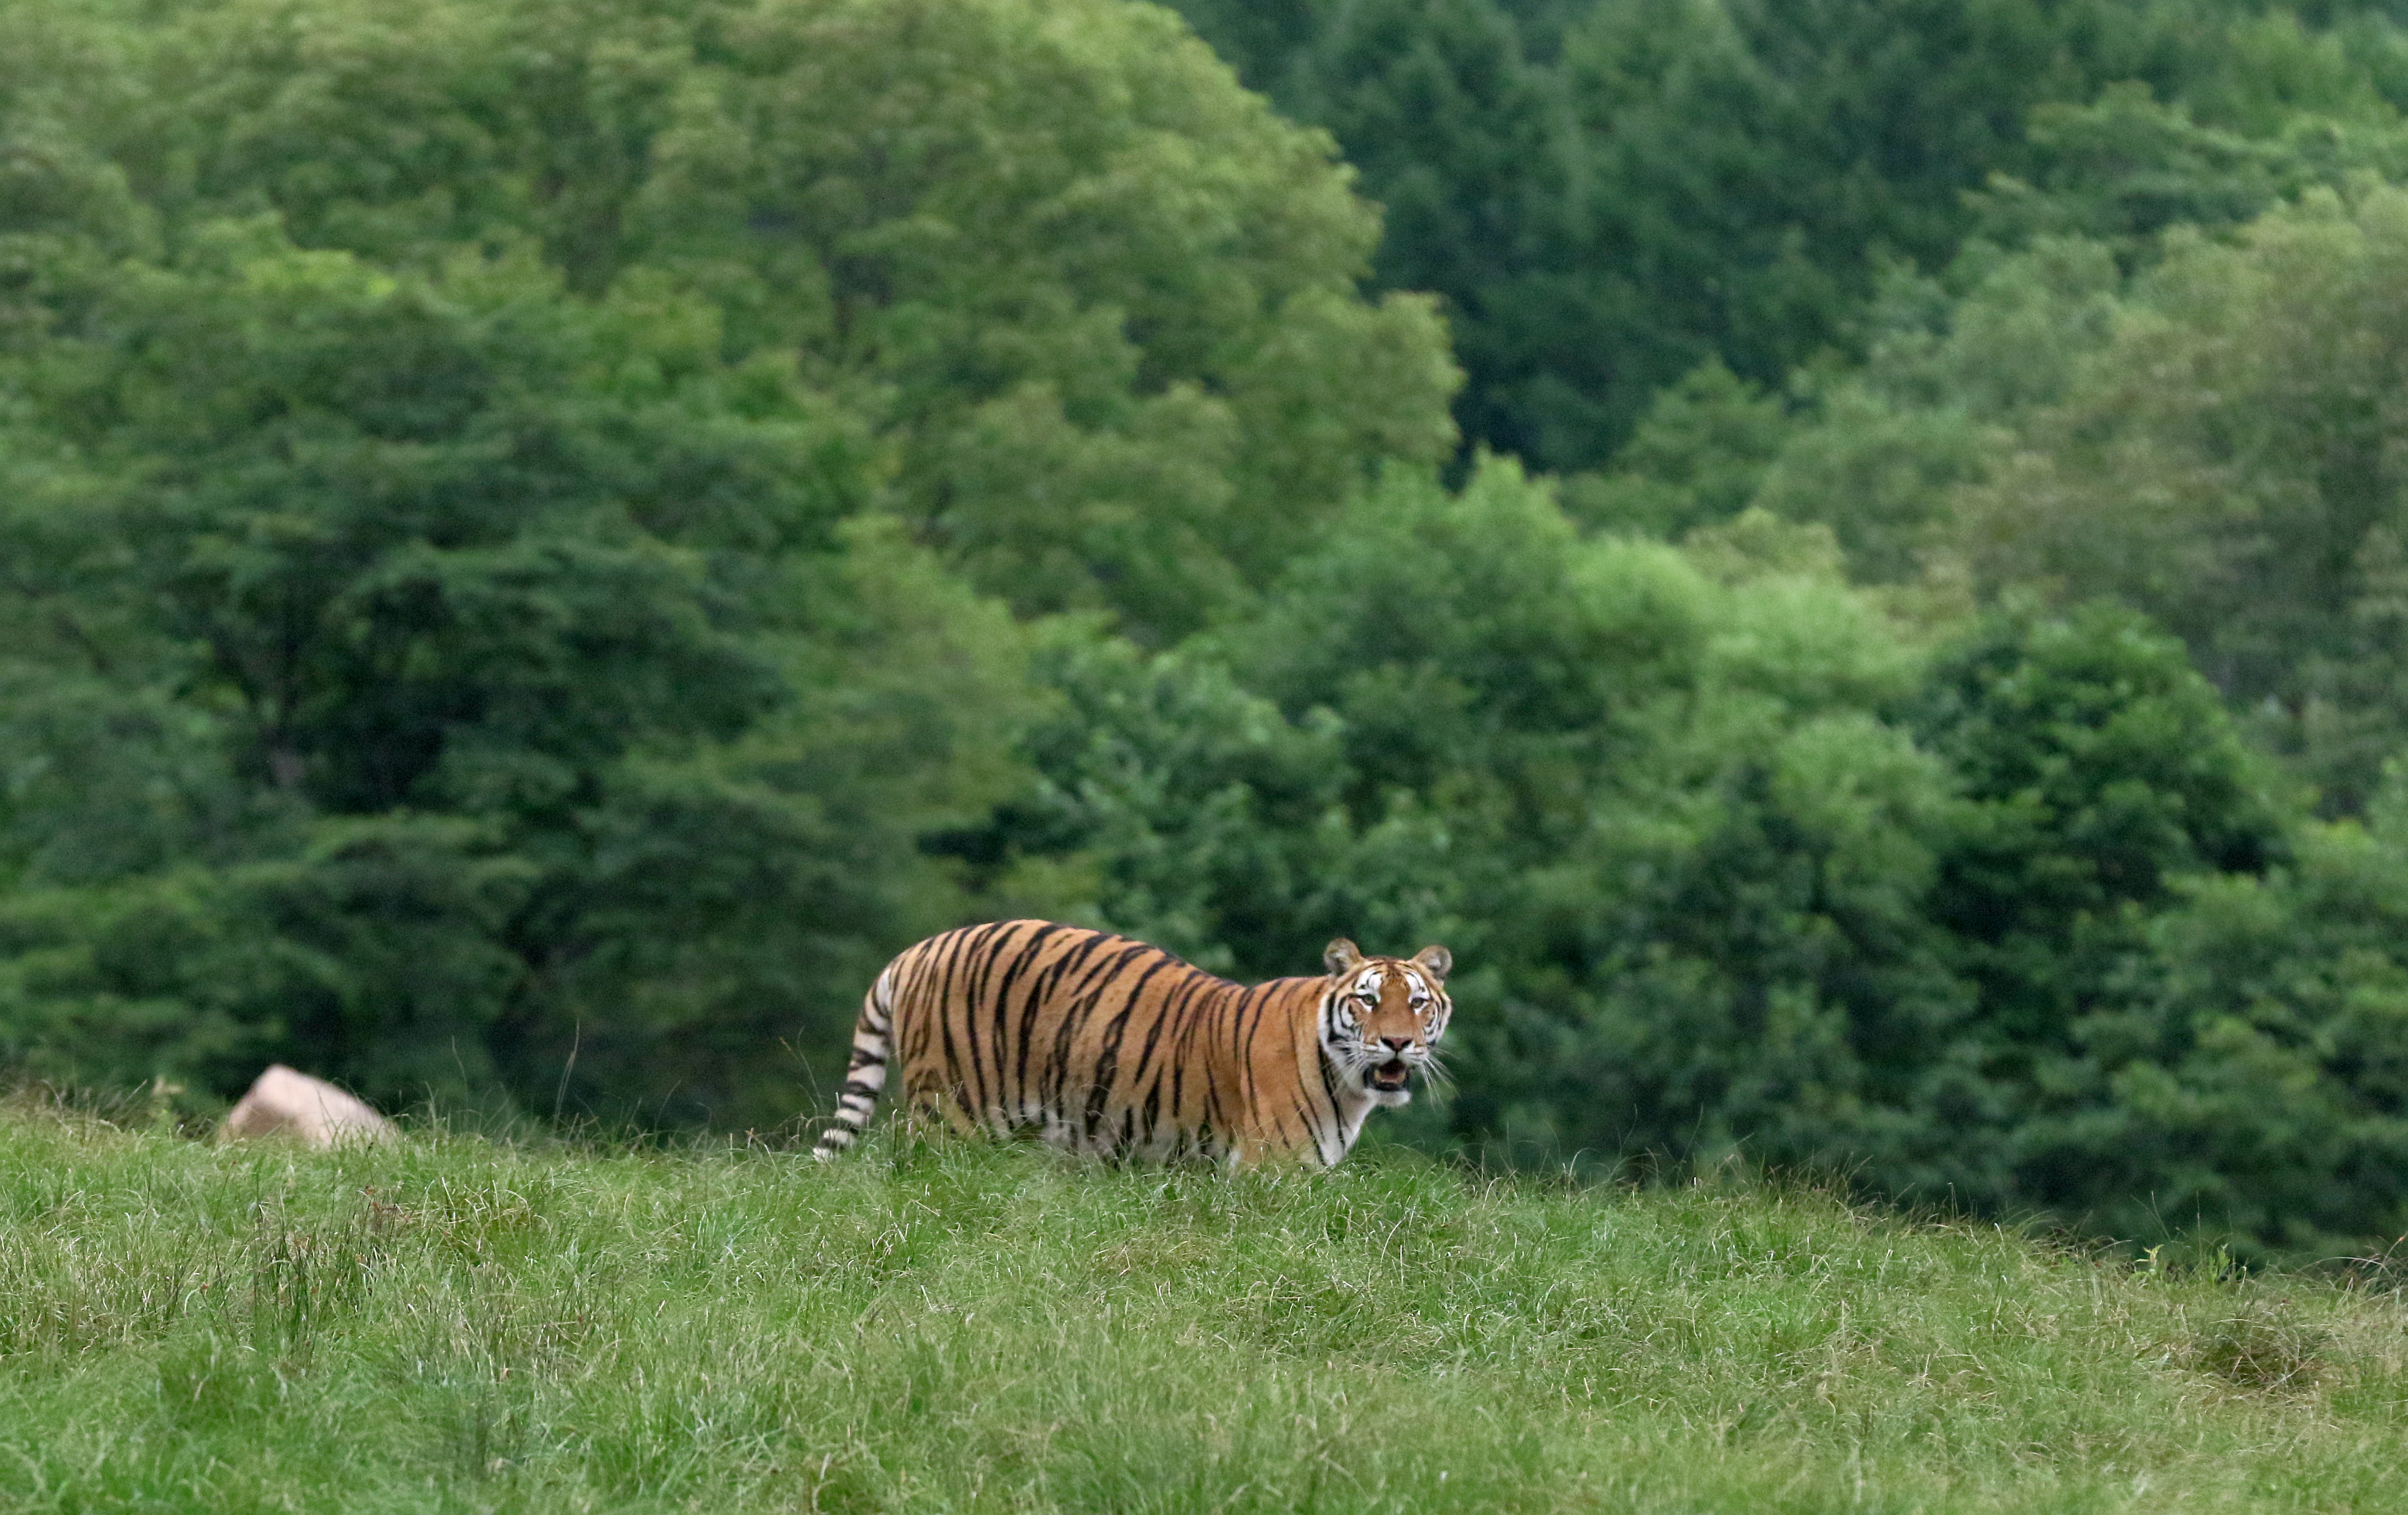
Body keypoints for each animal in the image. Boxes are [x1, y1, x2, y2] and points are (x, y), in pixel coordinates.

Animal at [809, 915, 1445, 1166]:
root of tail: (918, 949)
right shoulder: (1271, 1175)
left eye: (1417, 1003)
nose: (1396, 1043)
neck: (1348, 1086)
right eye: (1368, 1000)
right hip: (952, 1115)